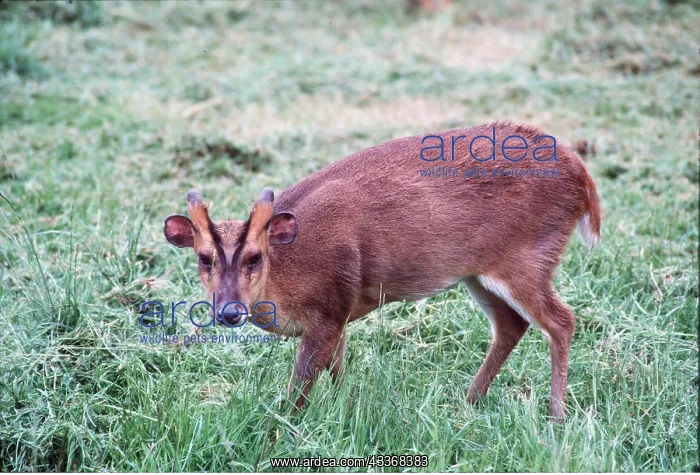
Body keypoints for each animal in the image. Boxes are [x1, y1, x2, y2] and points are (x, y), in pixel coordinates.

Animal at [163, 121, 601, 421]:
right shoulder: (338, 312)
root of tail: (582, 177)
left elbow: (300, 387)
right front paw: (341, 411)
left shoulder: (329, 307)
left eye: (255, 257)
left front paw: (281, 429)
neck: (285, 277)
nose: (229, 312)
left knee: (562, 320)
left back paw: (556, 416)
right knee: (513, 325)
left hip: (527, 257)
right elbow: (336, 371)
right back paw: (468, 400)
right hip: (479, 273)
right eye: (204, 258)